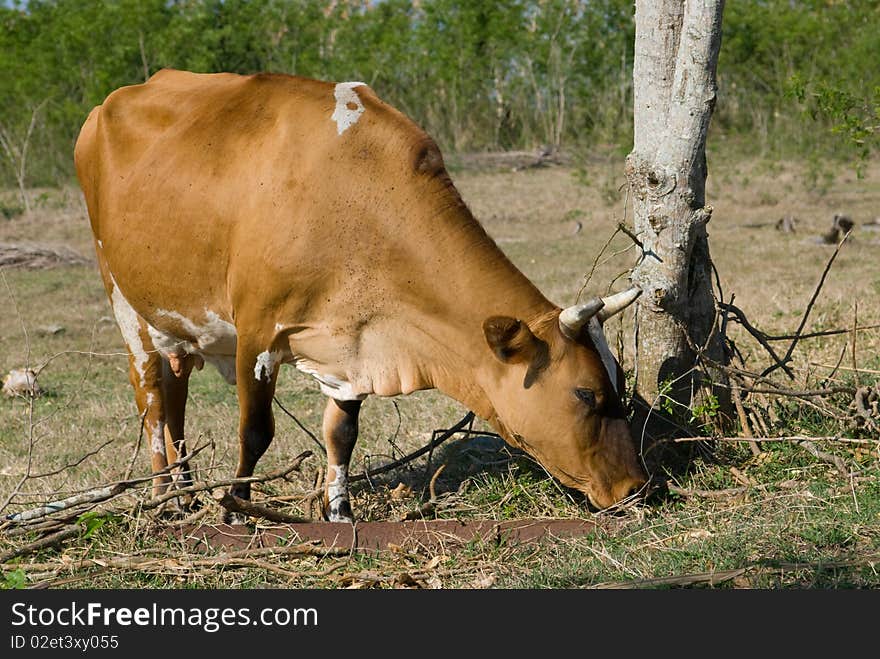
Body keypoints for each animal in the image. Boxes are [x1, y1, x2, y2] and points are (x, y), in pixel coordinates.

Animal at [74, 71, 648, 520]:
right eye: (586, 394)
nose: (637, 486)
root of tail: (111, 102)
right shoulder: (257, 333)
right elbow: (255, 431)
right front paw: (237, 507)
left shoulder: (353, 343)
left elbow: (341, 435)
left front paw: (339, 509)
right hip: (122, 298)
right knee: (151, 398)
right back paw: (165, 499)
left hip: (177, 321)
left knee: (175, 399)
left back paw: (186, 492)